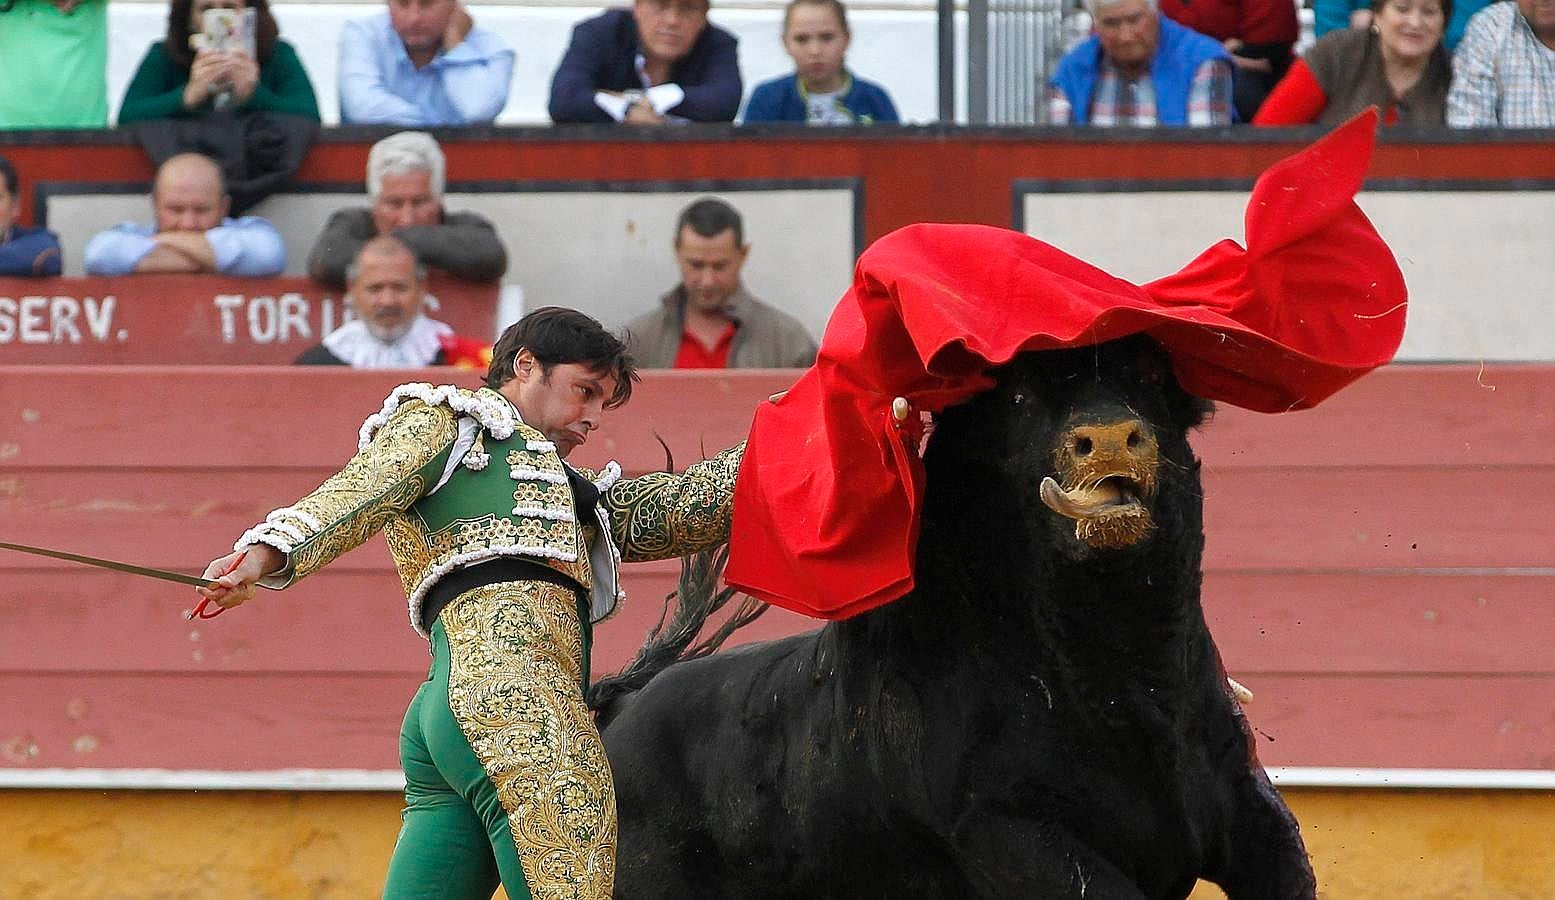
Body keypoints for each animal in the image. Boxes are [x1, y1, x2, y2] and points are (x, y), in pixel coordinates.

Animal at [587, 338, 1318, 900]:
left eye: (1149, 375)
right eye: (1016, 397)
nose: (1110, 438)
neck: (1124, 676)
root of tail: (614, 711)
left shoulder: (1251, 812)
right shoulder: (1018, 836)